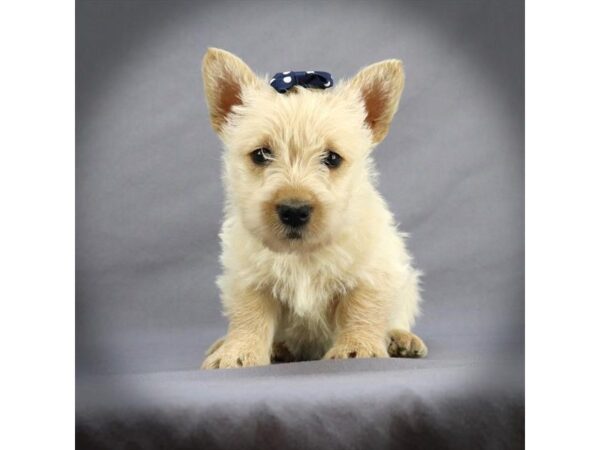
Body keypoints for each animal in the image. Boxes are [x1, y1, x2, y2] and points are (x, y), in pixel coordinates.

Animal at [199, 47, 424, 370]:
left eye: (332, 158)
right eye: (261, 154)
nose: (294, 211)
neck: (302, 253)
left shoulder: (372, 271)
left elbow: (362, 309)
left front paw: (358, 348)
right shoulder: (247, 277)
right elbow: (249, 316)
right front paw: (238, 352)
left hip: (408, 287)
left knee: (396, 318)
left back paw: (402, 339)